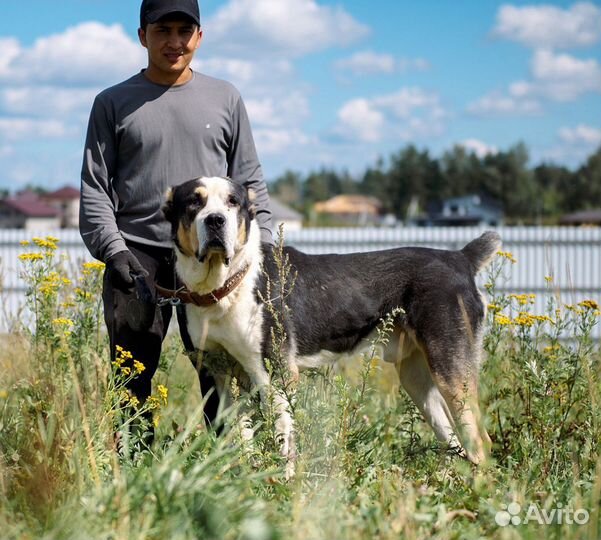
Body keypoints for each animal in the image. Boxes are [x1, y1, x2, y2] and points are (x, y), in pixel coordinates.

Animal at [161, 176, 502, 468]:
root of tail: (460, 257)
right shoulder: (220, 372)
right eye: (194, 203)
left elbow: (283, 442)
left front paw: (283, 489)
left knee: (479, 441)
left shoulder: (276, 374)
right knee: (453, 440)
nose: (215, 220)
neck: (227, 286)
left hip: (450, 370)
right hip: (416, 377)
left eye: (233, 202)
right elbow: (241, 439)